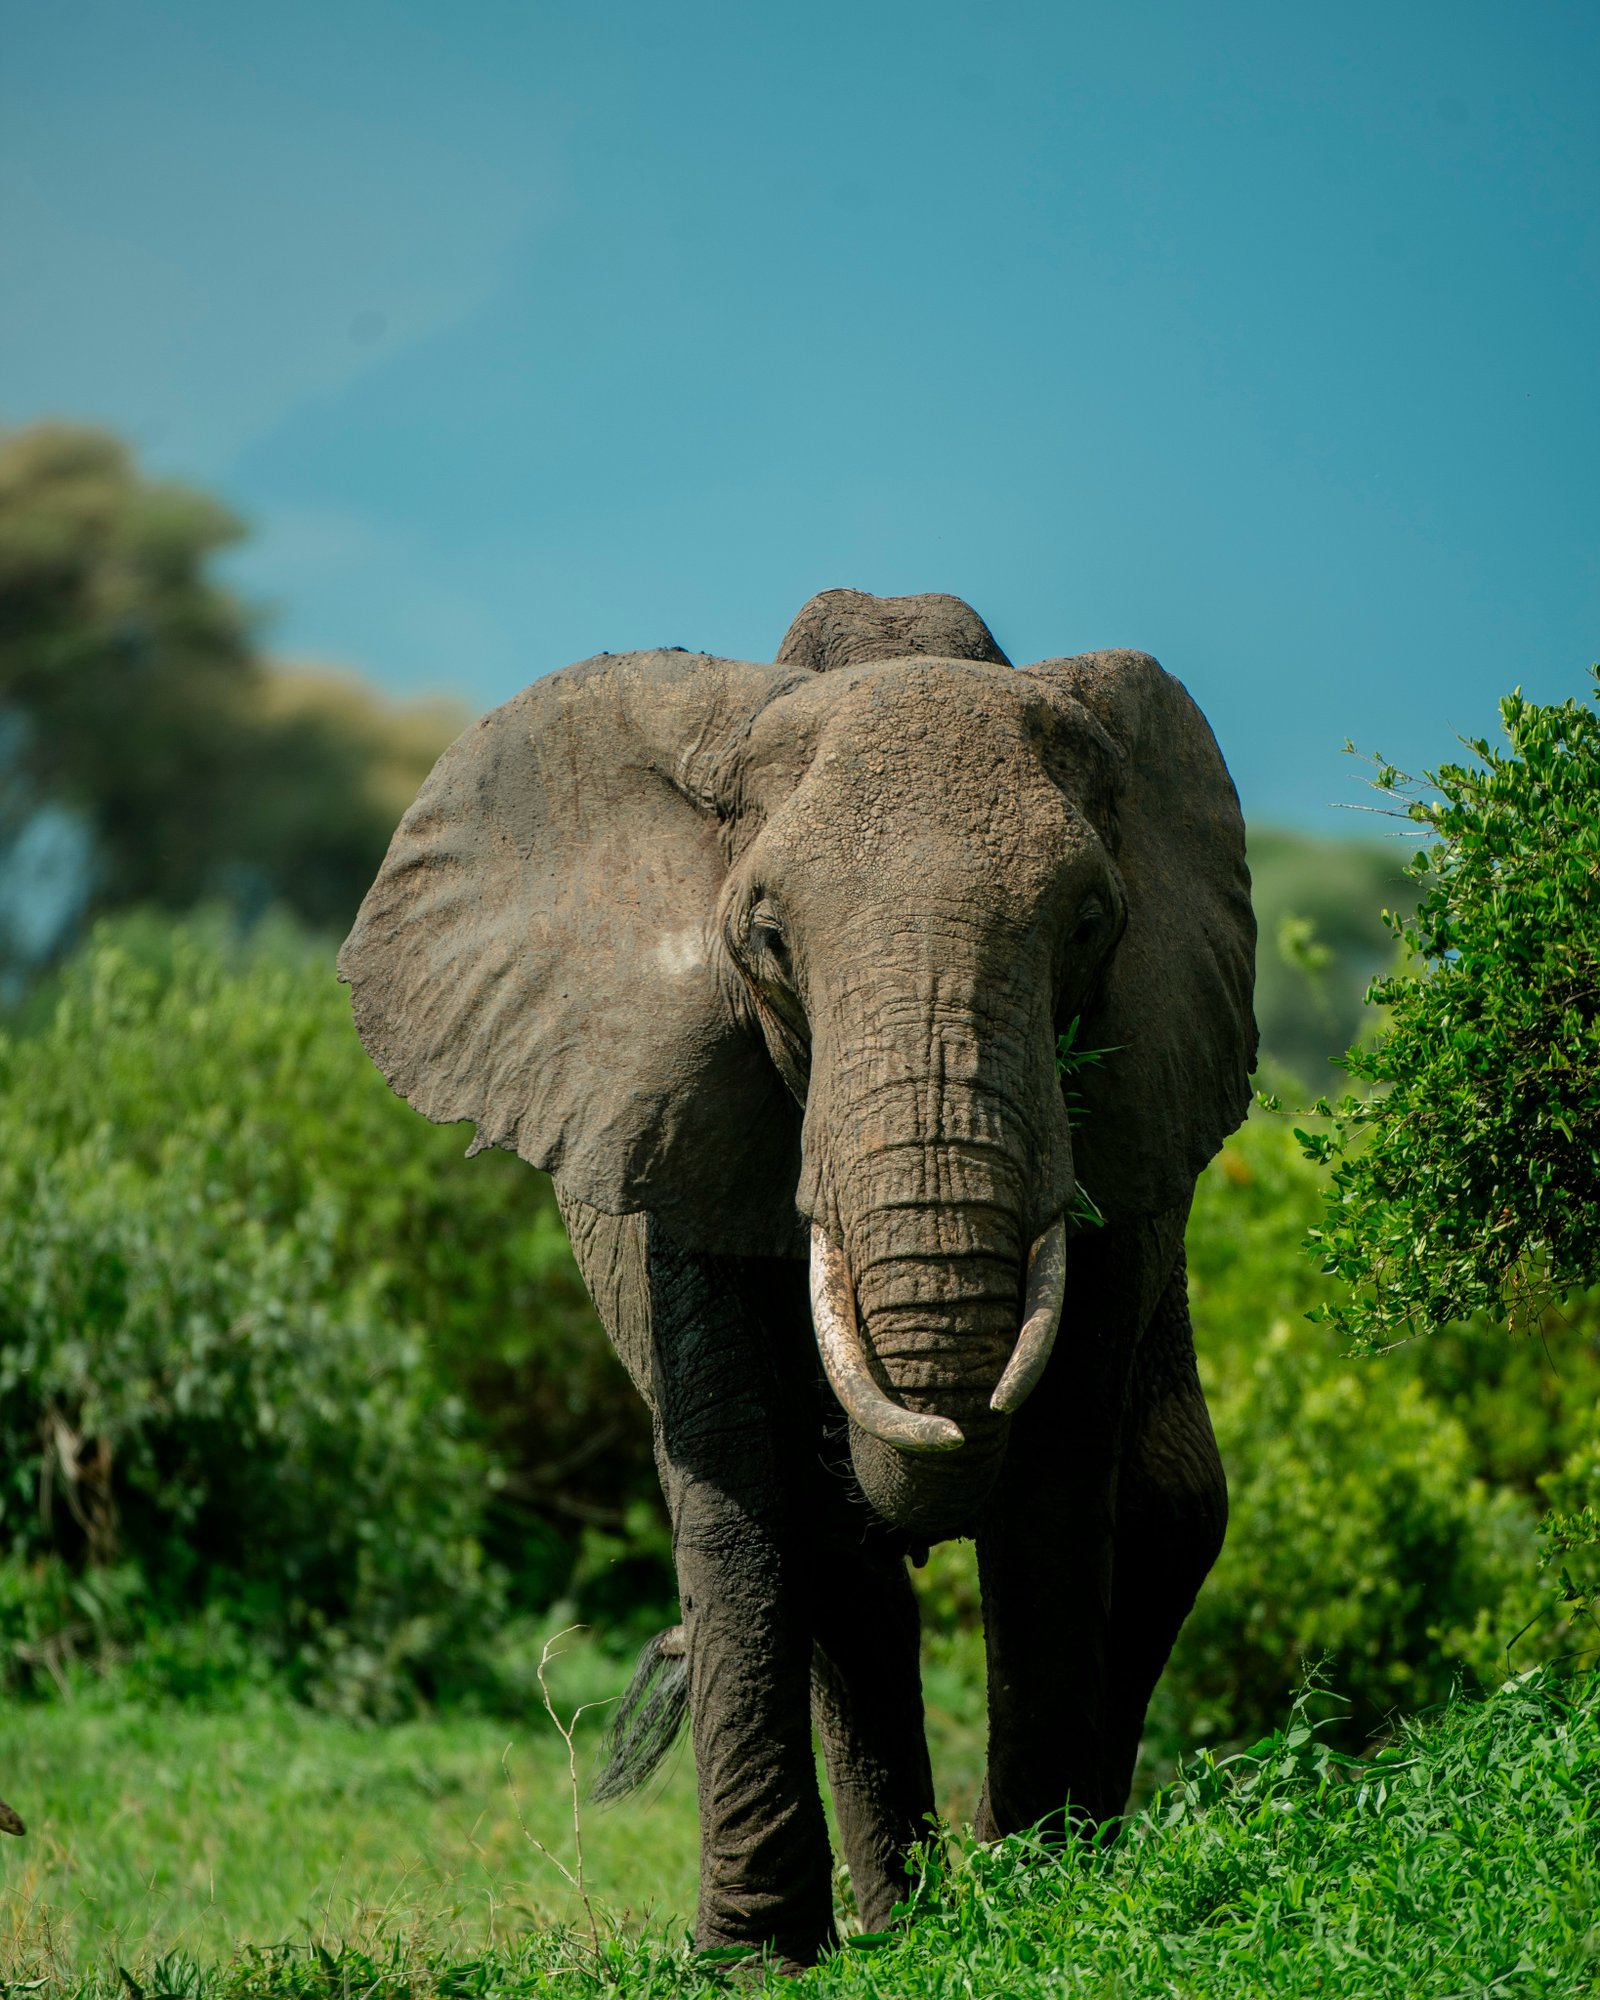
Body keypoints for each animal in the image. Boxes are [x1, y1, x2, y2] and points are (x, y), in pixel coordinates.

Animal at [339, 588, 1256, 1969]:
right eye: (768, 939)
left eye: (1090, 924)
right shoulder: (670, 1120)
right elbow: (743, 1477)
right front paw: (750, 1956)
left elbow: (1055, 1472)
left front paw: (1041, 1899)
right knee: (845, 1565)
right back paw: (898, 1914)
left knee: (1164, 1506)